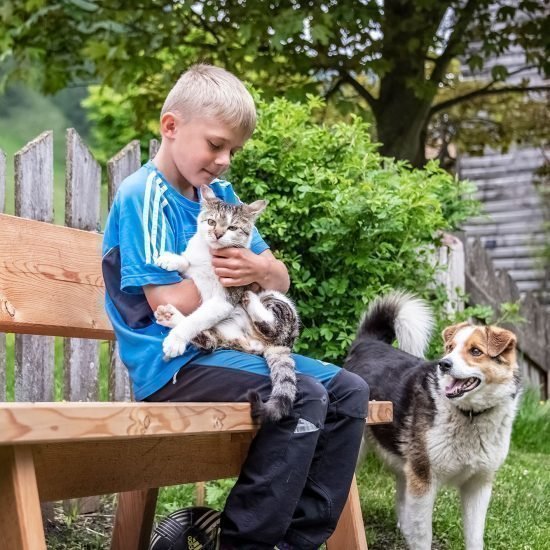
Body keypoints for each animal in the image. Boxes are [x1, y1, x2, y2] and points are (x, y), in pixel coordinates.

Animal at [155, 184, 300, 422]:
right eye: (211, 221)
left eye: (232, 227)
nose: (217, 233)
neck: (210, 257)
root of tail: (267, 346)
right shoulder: (195, 271)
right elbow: (189, 263)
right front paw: (171, 259)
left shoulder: (225, 298)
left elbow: (197, 319)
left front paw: (176, 340)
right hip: (226, 336)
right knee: (209, 341)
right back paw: (171, 316)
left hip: (277, 300)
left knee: (272, 324)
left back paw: (250, 300)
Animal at [348, 292, 524, 548]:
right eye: (450, 348)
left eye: (476, 351)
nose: (444, 364)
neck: (470, 415)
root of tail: (367, 343)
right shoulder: (424, 482)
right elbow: (423, 537)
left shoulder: (478, 486)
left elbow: (475, 538)